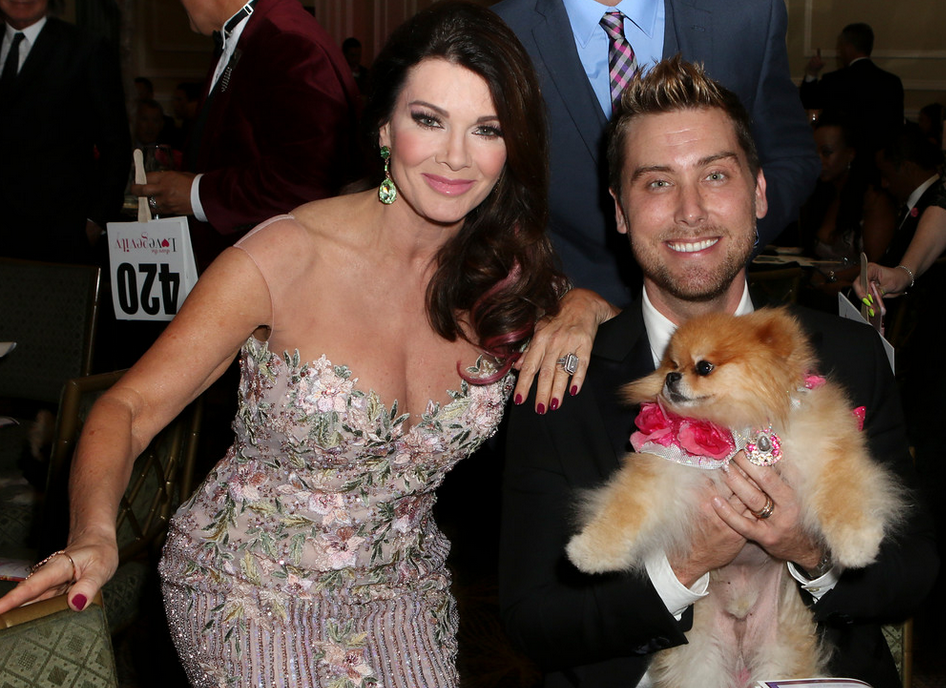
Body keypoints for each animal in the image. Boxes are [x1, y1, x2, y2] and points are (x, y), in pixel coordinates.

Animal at [565, 308, 905, 687]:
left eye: (704, 367)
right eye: (672, 363)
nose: (670, 378)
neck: (737, 428)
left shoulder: (822, 453)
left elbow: (843, 498)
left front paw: (858, 545)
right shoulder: (667, 470)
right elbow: (627, 509)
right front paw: (590, 550)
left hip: (777, 654)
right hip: (702, 662)